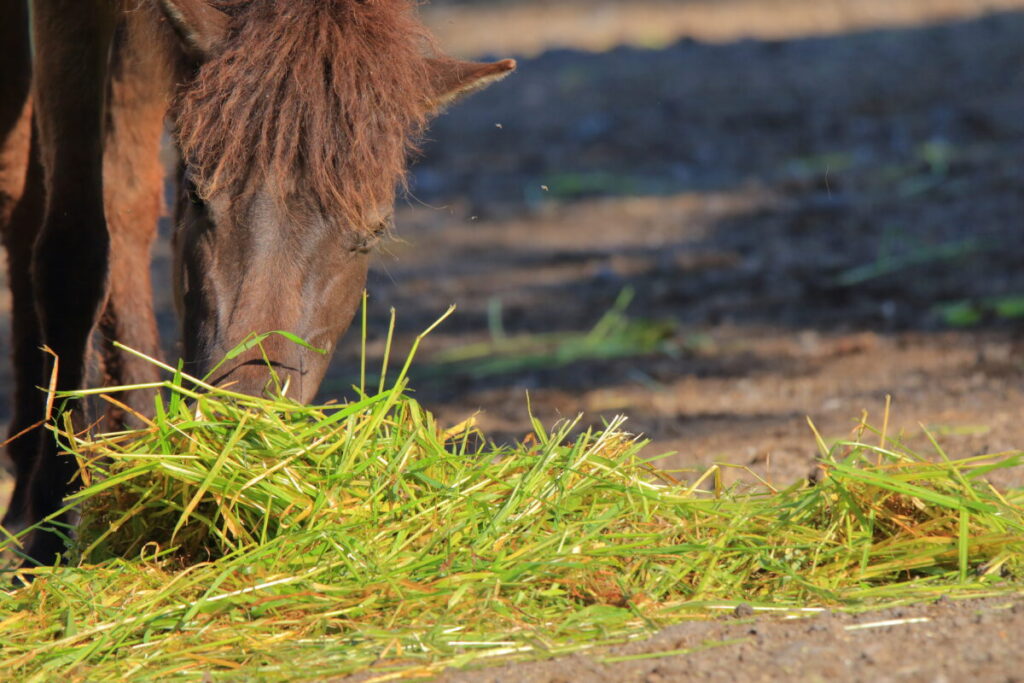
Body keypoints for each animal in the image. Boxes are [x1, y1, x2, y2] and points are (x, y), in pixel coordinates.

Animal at [0, 0, 514, 566]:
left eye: (372, 232)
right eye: (197, 194)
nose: (243, 417)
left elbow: (125, 202)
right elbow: (71, 253)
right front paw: (49, 534)